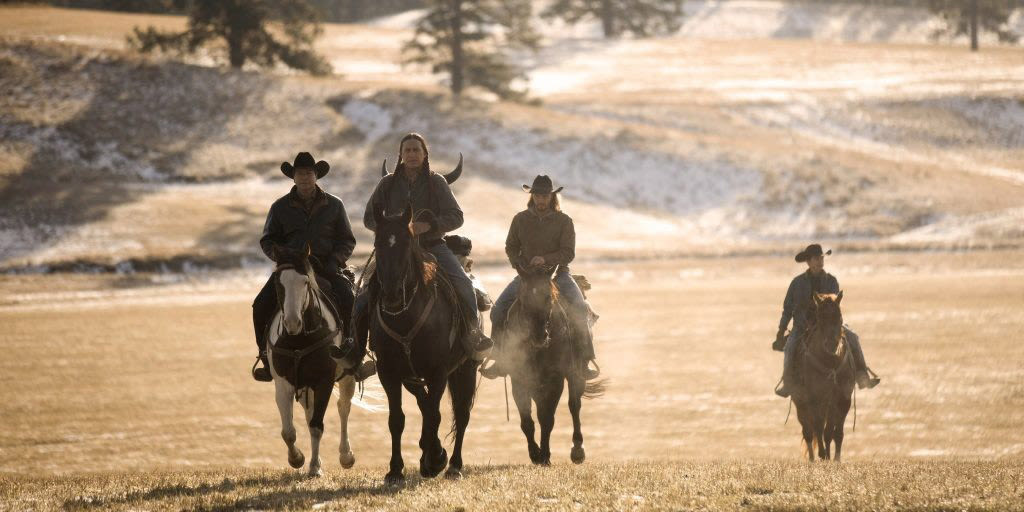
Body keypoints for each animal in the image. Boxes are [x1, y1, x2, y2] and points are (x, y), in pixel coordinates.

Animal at [268, 245, 360, 477]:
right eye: (278, 282)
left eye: (305, 282)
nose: (292, 323)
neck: (299, 339)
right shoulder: (283, 384)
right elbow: (288, 432)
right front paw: (297, 459)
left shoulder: (324, 382)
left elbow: (317, 425)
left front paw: (315, 468)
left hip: (346, 376)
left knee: (343, 407)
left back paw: (346, 456)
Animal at [370, 204, 477, 483]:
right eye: (377, 242)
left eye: (407, 242)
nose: (392, 295)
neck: (406, 317)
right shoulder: (389, 372)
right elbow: (397, 419)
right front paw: (395, 469)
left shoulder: (438, 372)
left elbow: (435, 414)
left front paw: (435, 459)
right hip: (413, 376)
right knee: (425, 404)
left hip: (467, 367)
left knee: (461, 414)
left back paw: (453, 465)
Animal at [499, 266, 602, 466]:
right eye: (524, 298)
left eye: (548, 297)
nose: (539, 336)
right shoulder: (519, 380)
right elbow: (527, 421)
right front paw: (535, 454)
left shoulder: (555, 381)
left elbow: (546, 418)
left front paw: (545, 456)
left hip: (577, 374)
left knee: (574, 405)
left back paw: (577, 450)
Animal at [790, 290, 856, 462]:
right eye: (820, 318)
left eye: (839, 316)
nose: (831, 345)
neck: (830, 362)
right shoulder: (814, 398)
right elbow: (819, 427)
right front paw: (822, 454)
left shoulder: (842, 399)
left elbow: (835, 432)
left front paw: (836, 459)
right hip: (801, 403)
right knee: (808, 431)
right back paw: (813, 459)